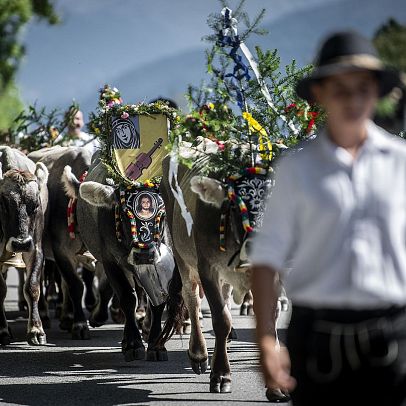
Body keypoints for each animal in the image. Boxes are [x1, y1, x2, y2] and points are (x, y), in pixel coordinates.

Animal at [64, 156, 185, 362]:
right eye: (124, 214)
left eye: (162, 214)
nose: (144, 254)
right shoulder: (110, 261)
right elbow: (127, 297)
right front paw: (133, 344)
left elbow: (158, 301)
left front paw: (156, 344)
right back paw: (99, 318)